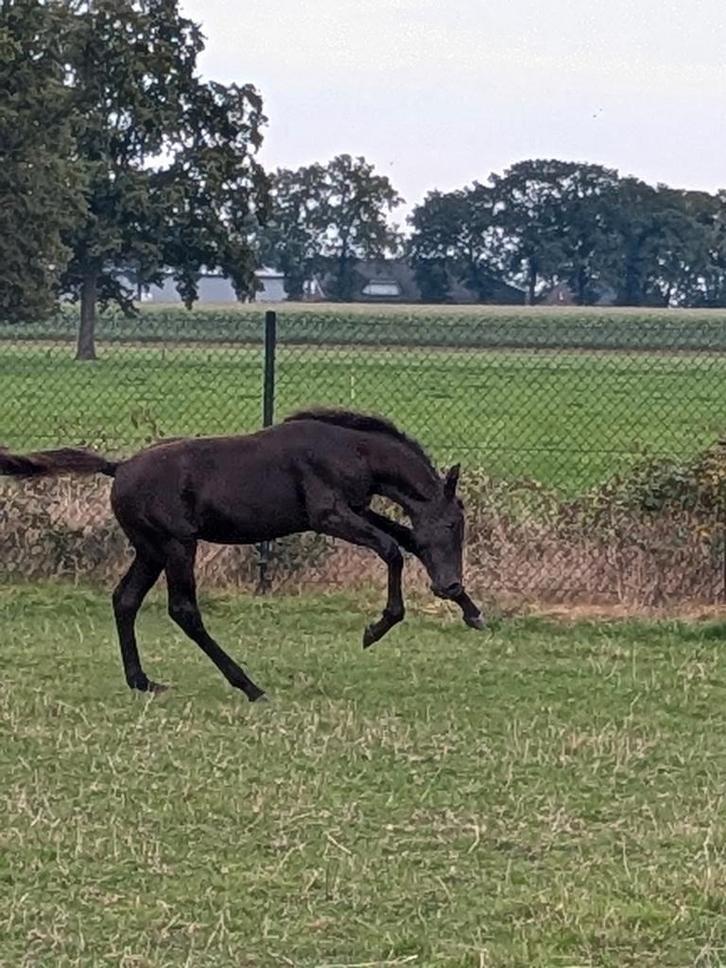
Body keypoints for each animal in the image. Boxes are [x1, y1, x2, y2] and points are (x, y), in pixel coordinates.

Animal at [0, 408, 485, 701]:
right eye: (452, 525)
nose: (449, 584)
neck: (351, 450)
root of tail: (117, 468)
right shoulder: (329, 515)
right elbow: (392, 550)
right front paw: (376, 628)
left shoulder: (358, 509)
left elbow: (405, 540)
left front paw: (473, 612)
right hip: (177, 545)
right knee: (183, 610)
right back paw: (248, 685)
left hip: (151, 549)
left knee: (126, 600)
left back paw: (143, 681)